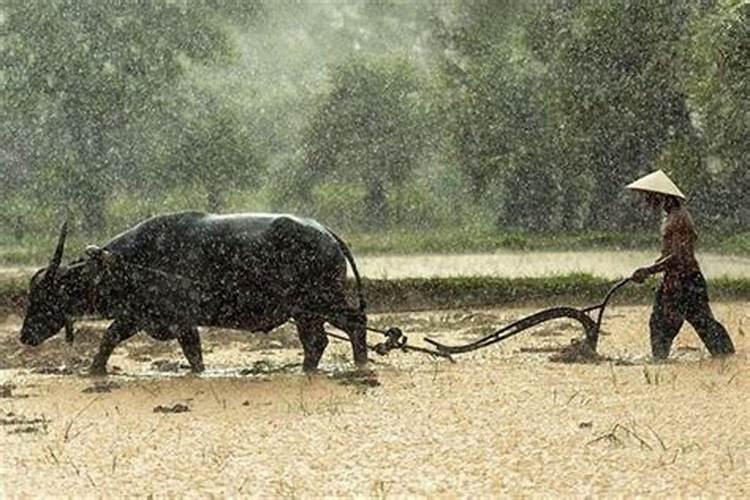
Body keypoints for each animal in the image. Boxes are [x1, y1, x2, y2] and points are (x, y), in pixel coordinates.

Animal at [19, 209, 368, 374]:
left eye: (44, 296)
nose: (24, 335)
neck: (132, 262)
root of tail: (327, 234)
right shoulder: (136, 316)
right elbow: (108, 339)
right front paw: (94, 371)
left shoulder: (182, 320)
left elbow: (193, 355)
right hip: (305, 312)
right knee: (316, 342)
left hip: (324, 300)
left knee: (355, 324)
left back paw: (361, 364)